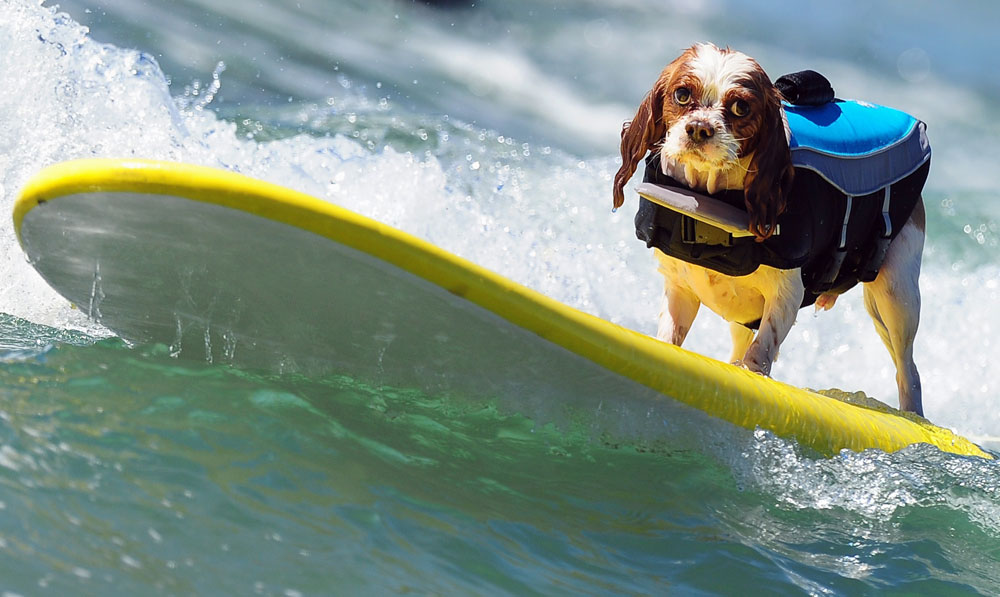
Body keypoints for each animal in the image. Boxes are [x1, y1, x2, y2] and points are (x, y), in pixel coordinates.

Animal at [612, 43, 924, 414]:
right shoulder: (680, 289)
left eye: (740, 107)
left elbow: (761, 351)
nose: (700, 128)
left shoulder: (786, 296)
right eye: (682, 94)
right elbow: (670, 338)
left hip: (895, 297)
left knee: (908, 370)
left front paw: (753, 372)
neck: (709, 199)